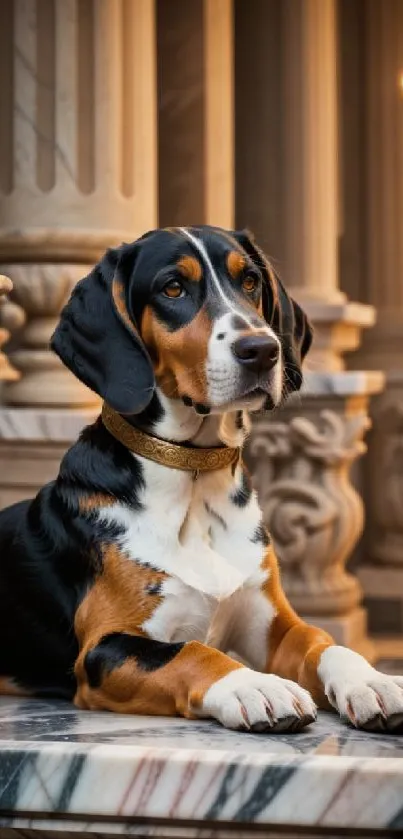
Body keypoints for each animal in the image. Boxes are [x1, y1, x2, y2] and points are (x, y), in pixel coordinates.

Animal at [0, 226, 403, 732]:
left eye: (250, 281)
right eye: (173, 288)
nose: (262, 350)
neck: (193, 476)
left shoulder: (273, 626)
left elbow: (323, 641)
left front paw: (372, 680)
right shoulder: (105, 647)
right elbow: (193, 652)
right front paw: (256, 686)